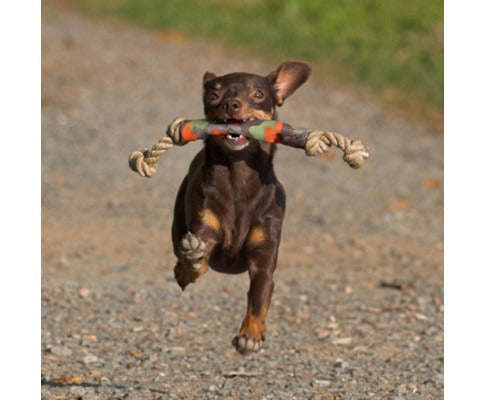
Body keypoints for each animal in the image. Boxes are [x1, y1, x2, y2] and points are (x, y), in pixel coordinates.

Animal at [172, 61, 312, 354]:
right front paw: (191, 263)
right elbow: (197, 259)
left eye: (258, 94)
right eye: (214, 94)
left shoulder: (263, 262)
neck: (239, 175)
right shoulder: (206, 233)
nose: (231, 104)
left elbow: (259, 297)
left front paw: (250, 333)